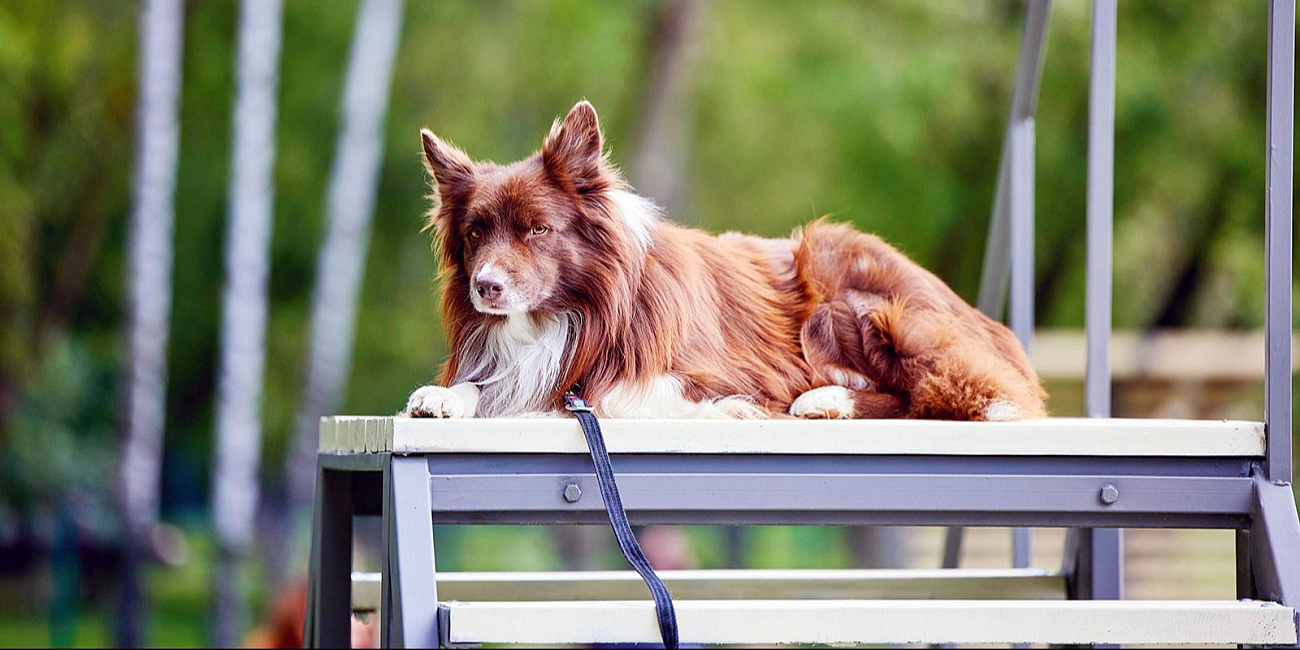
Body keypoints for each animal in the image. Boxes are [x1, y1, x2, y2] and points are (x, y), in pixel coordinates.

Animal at [403, 98, 1045, 418]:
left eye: (538, 229)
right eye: (475, 233)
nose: (485, 287)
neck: (577, 310)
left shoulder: (727, 375)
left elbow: (616, 395)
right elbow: (494, 384)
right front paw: (445, 396)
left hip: (841, 276)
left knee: (936, 394)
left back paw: (828, 399)